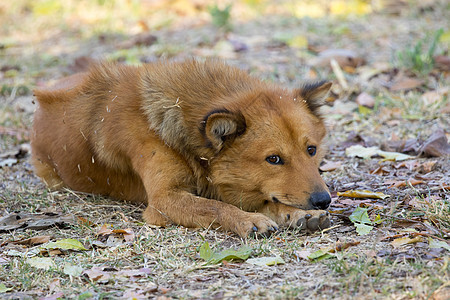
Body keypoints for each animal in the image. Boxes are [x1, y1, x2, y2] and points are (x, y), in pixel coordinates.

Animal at [31, 59, 332, 238]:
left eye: (311, 150)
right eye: (274, 159)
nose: (323, 201)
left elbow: (266, 201)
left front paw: (300, 214)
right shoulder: (163, 201)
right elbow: (214, 207)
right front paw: (248, 220)